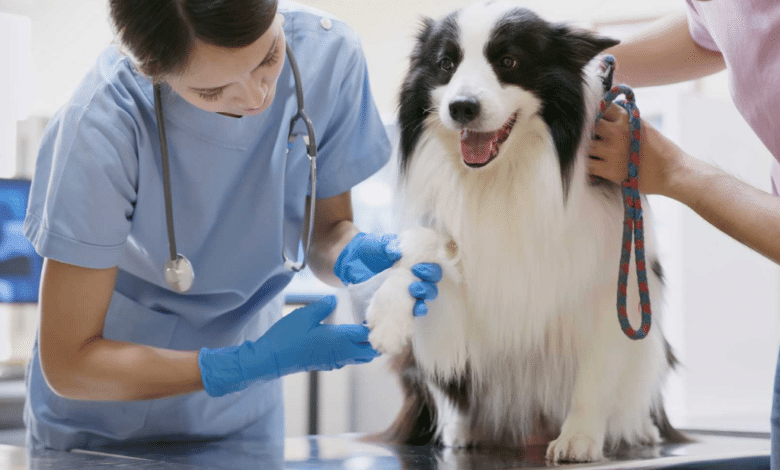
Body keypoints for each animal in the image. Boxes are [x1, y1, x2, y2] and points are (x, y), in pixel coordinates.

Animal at [356, 0, 684, 462]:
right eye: (446, 64)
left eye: (508, 61)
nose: (461, 107)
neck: (503, 175)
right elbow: (423, 247)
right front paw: (387, 313)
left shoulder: (610, 289)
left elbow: (595, 373)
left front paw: (579, 437)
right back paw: (461, 429)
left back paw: (641, 430)